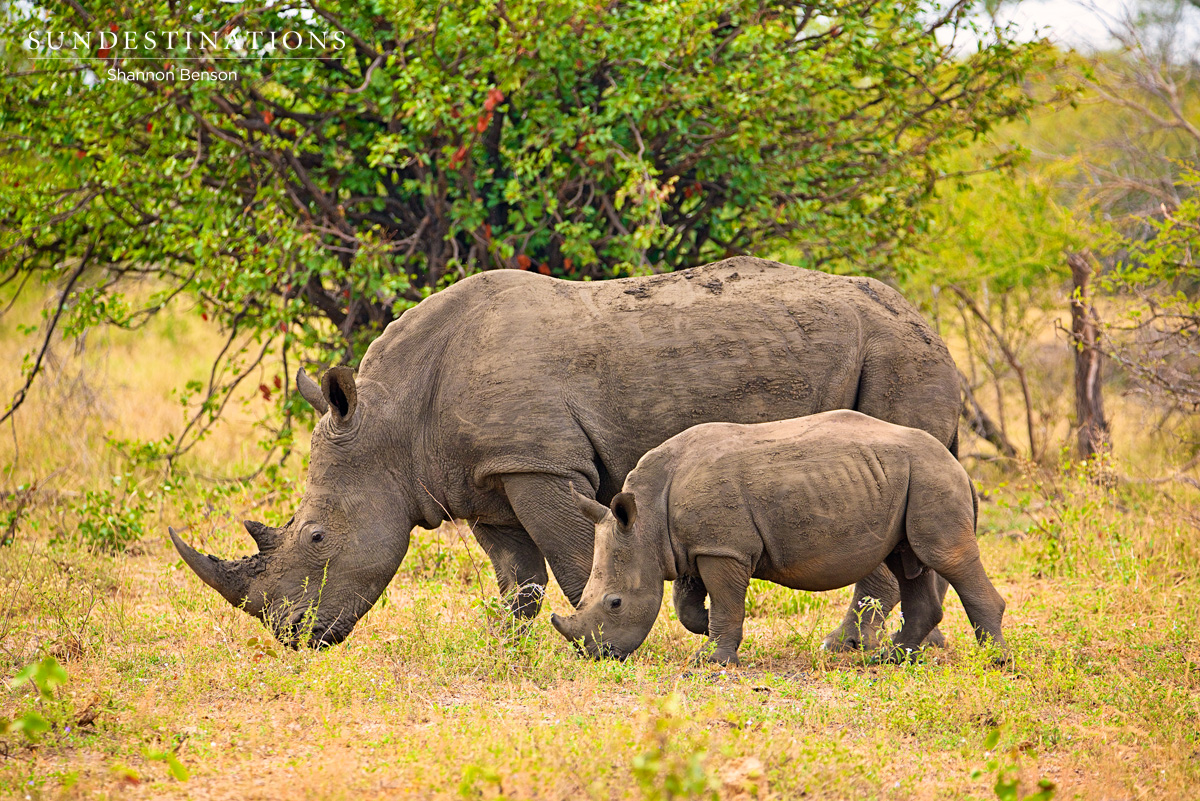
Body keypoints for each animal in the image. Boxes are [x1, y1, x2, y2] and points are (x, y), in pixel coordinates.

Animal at [169, 256, 962, 648]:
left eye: (315, 536)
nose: (289, 637)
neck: (391, 421)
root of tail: (931, 325)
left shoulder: (540, 463)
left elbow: (575, 558)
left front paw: (595, 639)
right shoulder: (486, 477)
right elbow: (515, 576)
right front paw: (505, 647)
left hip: (897, 356)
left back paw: (844, 648)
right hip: (895, 352)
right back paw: (896, 648)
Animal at [550, 411, 1008, 665]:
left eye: (615, 603)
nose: (595, 654)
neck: (645, 522)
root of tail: (957, 463)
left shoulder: (724, 550)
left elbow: (726, 601)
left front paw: (711, 661)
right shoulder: (694, 545)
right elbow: (687, 604)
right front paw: (704, 628)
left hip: (931, 476)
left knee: (944, 557)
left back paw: (996, 660)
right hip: (908, 479)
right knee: (908, 562)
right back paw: (892, 658)